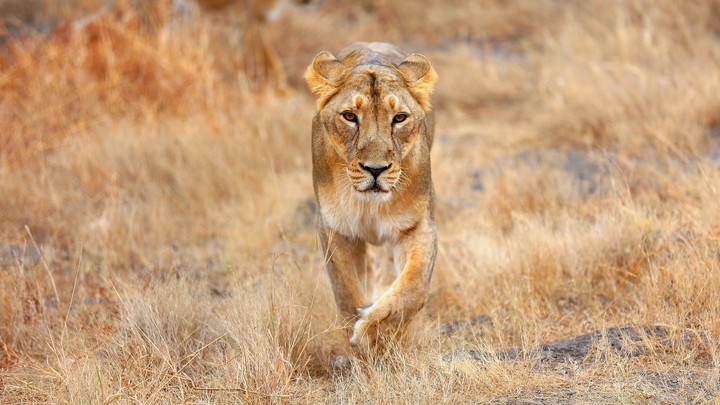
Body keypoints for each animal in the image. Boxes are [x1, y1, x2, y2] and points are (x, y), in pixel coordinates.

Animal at [305, 42, 438, 348]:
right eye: (349, 116)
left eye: (399, 118)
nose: (375, 169)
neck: (369, 204)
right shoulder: (335, 229)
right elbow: (346, 290)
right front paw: (357, 336)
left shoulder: (418, 226)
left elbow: (413, 287)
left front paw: (373, 332)